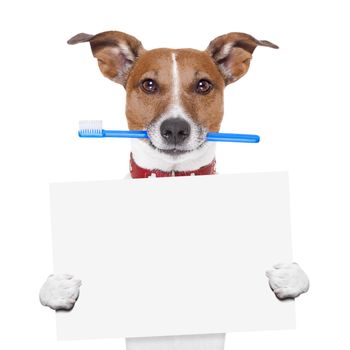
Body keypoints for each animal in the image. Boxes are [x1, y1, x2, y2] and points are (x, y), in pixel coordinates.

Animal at [39, 30, 310, 350]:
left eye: (203, 85)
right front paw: (59, 288)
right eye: (149, 84)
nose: (175, 129)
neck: (172, 178)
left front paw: (288, 277)